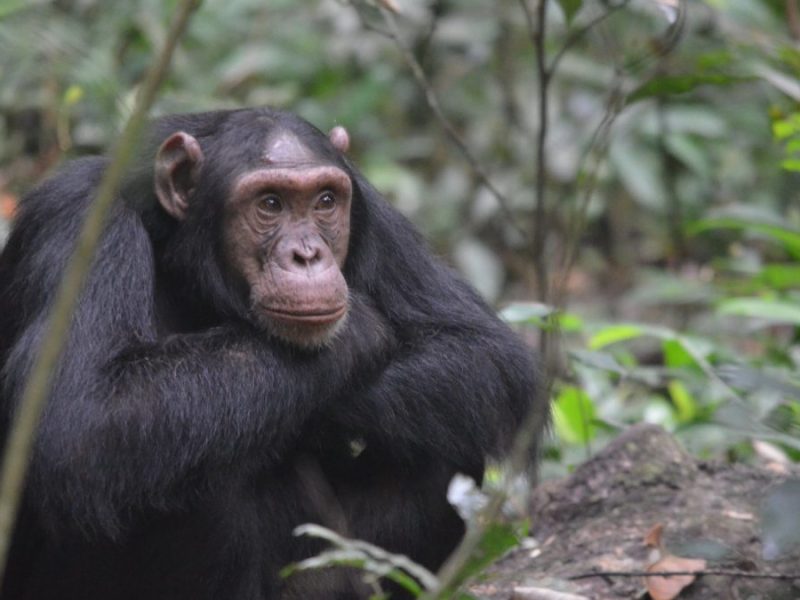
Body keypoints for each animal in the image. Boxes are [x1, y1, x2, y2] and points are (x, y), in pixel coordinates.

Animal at [0, 108, 544, 600]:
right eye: (270, 203)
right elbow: (82, 418)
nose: (307, 254)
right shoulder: (79, 223)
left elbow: (480, 353)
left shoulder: (375, 212)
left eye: (325, 201)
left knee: (446, 442)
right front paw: (358, 334)